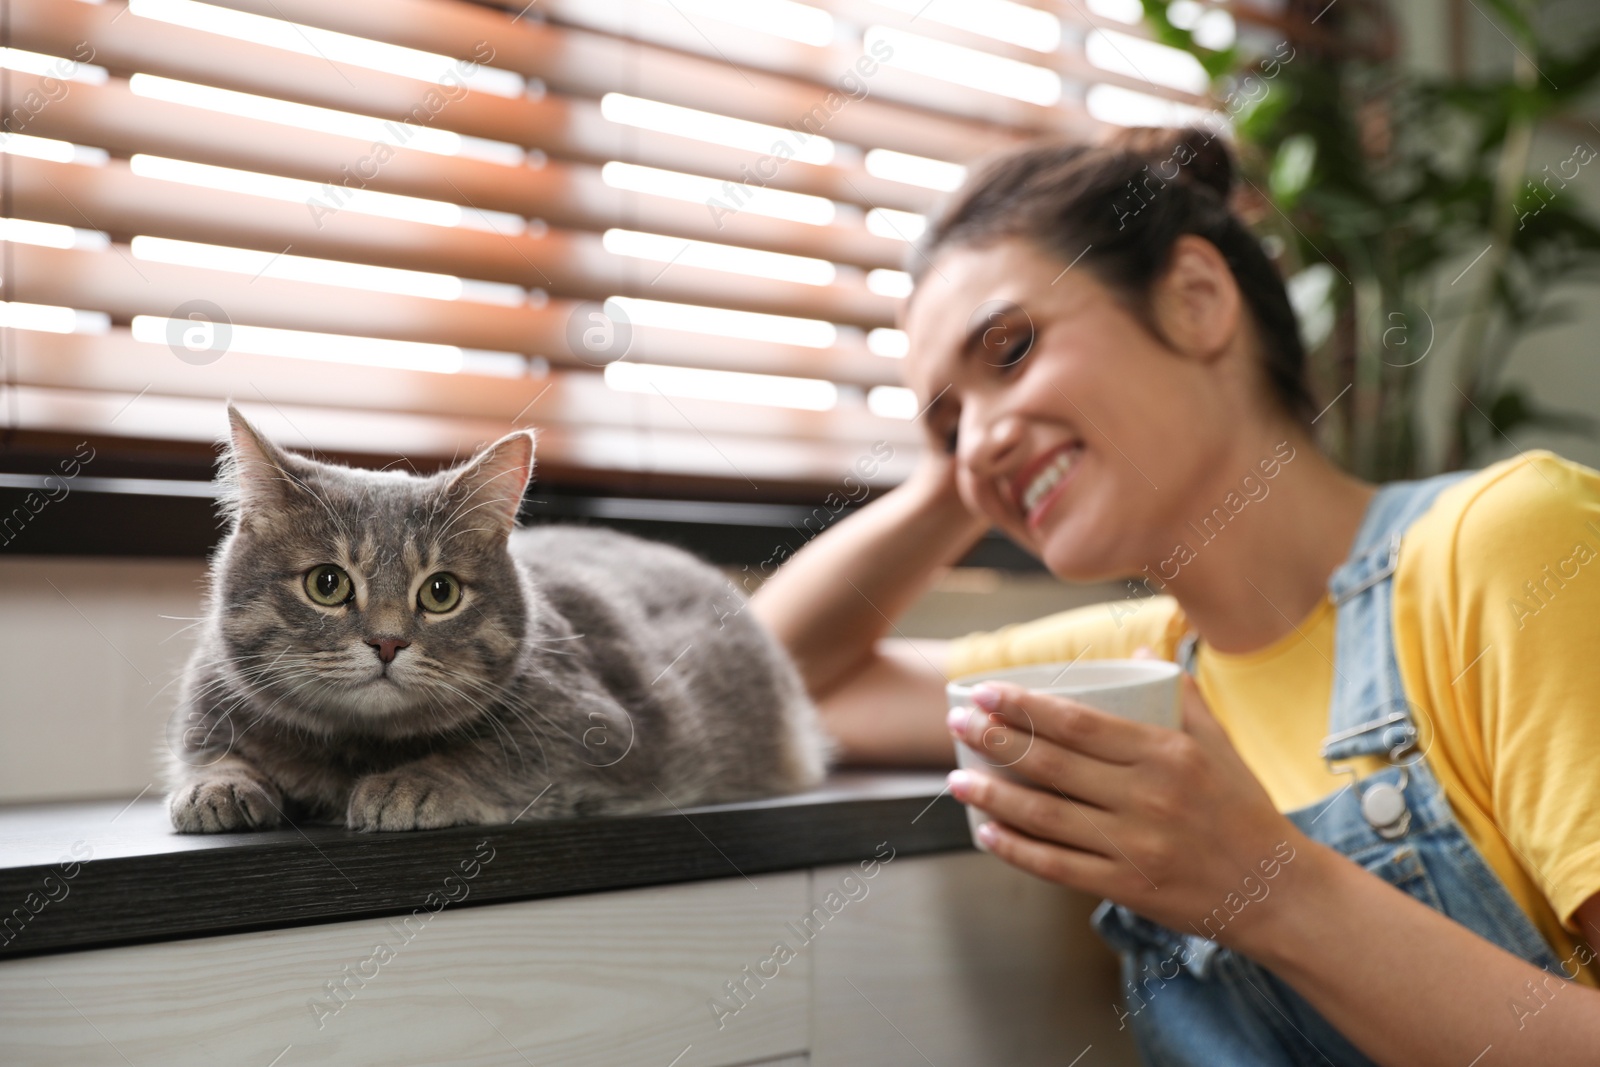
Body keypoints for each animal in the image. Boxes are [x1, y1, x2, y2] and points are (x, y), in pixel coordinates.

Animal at [165, 404, 838, 831]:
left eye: (440, 592)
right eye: (326, 584)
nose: (387, 643)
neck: (360, 748)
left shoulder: (602, 728)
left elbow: (496, 756)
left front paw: (414, 782)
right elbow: (212, 754)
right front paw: (217, 786)